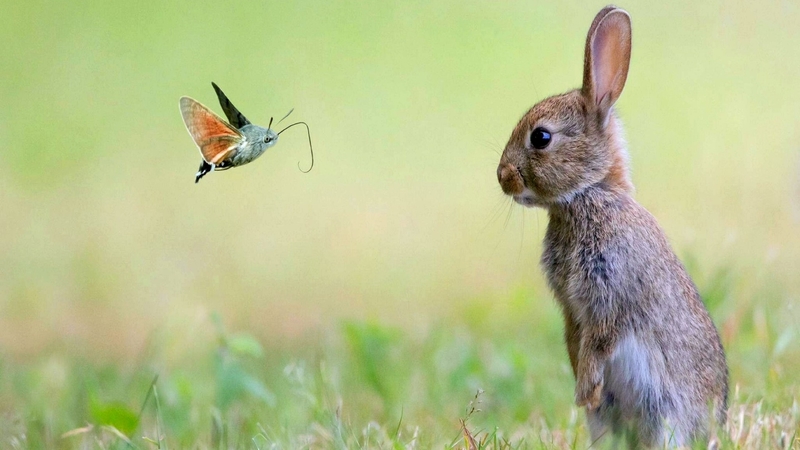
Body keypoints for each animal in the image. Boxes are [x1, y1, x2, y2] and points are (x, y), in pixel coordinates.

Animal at [496, 5, 728, 447]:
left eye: (541, 137)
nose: (502, 177)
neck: (588, 195)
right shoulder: (572, 308)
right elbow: (575, 337)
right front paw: (583, 388)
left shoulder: (612, 292)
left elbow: (602, 338)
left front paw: (585, 387)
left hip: (666, 418)